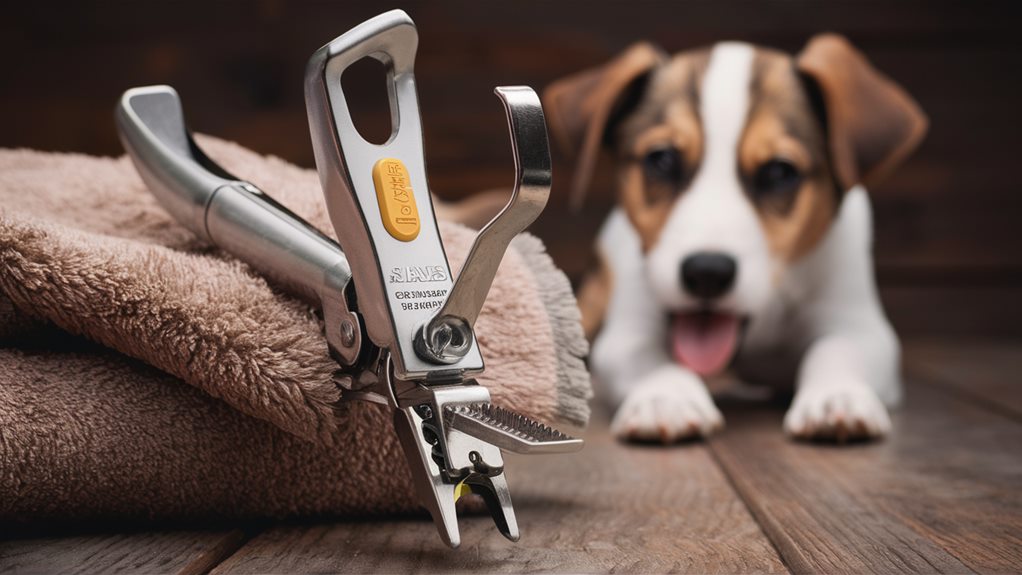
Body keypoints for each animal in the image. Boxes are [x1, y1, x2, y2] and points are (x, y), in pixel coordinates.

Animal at [547, 34, 932, 441]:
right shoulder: (630, 327)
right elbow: (647, 357)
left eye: (780, 171)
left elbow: (838, 349)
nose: (707, 272)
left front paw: (835, 396)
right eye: (662, 159)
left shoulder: (861, 325)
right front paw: (665, 397)